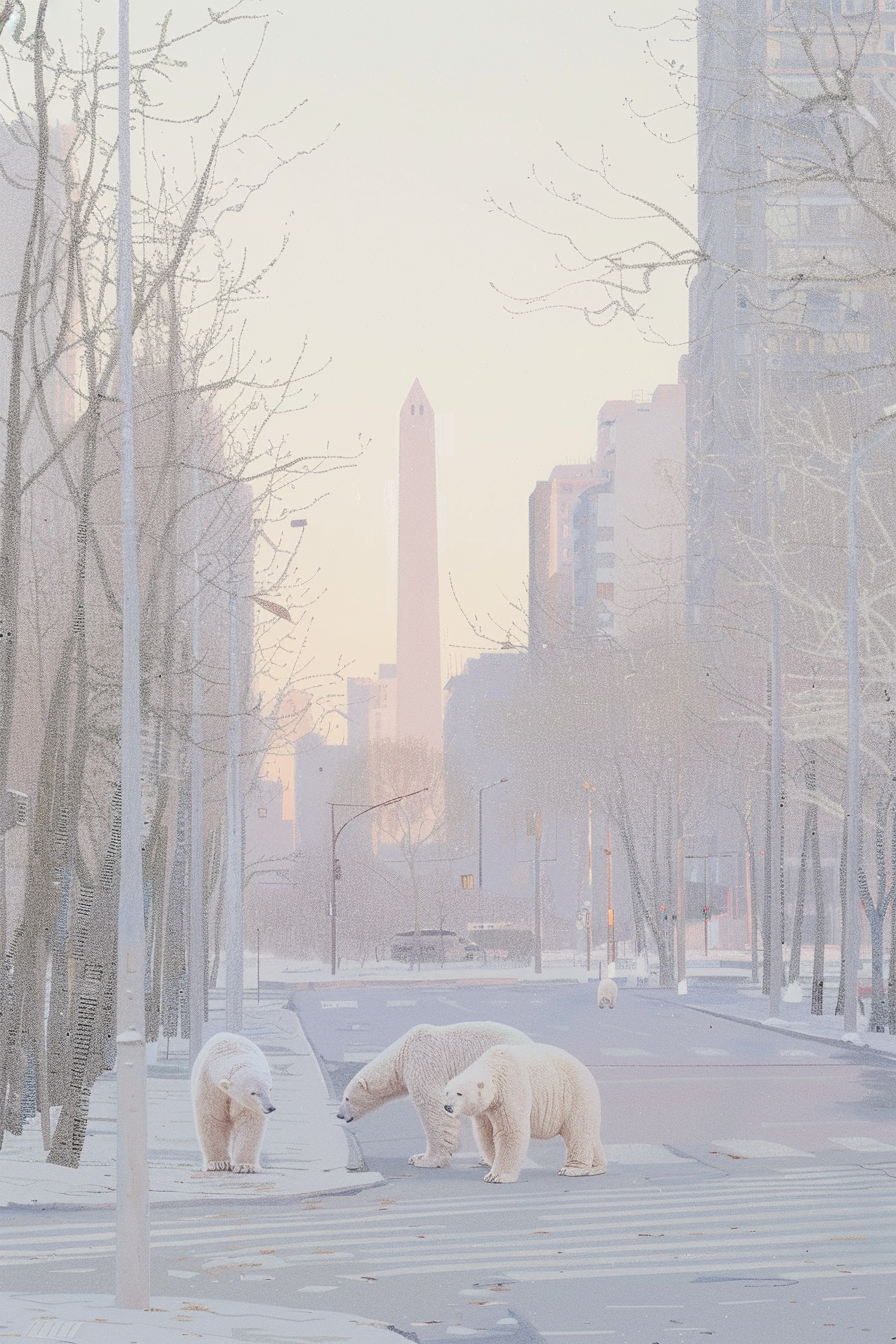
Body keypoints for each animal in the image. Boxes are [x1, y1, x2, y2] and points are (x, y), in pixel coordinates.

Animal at [188, 1032, 274, 1171]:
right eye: (253, 1092)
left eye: (269, 1089)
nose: (270, 1107)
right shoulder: (210, 1086)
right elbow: (212, 1119)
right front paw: (218, 1163)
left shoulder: (245, 1104)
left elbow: (249, 1121)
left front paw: (246, 1166)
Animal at [335, 1021, 531, 1171]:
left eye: (346, 1098)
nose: (339, 1114)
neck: (402, 1054)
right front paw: (417, 1156)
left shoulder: (422, 1062)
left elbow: (433, 1107)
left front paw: (426, 1161)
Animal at [443, 1042, 607, 1182]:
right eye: (446, 1092)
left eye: (459, 1093)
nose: (448, 1107)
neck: (495, 1065)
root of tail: (588, 1073)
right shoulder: (486, 1109)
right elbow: (486, 1133)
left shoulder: (511, 1088)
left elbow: (510, 1131)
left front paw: (496, 1176)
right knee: (590, 1134)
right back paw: (596, 1167)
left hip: (575, 1096)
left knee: (577, 1131)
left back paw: (573, 1169)